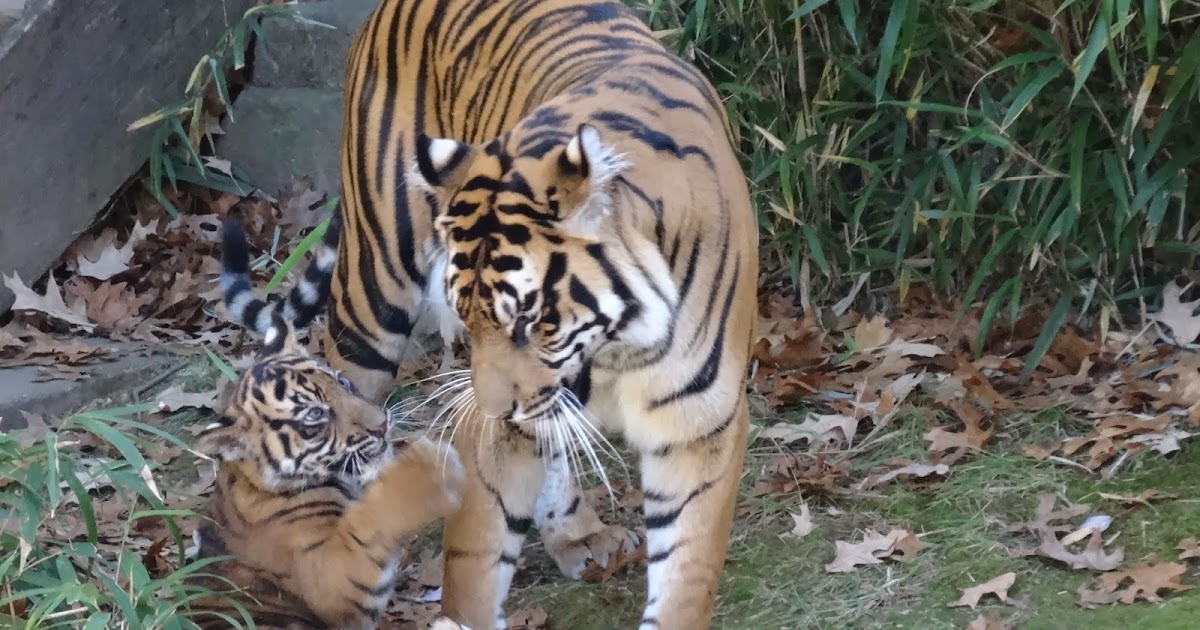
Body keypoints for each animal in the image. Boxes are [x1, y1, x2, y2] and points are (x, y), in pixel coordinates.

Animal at [324, 2, 758, 624]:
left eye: (531, 322)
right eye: (468, 315)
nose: (494, 410)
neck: (615, 351)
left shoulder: (699, 425)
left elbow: (685, 574)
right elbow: (476, 559)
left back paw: (579, 535)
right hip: (372, 291)